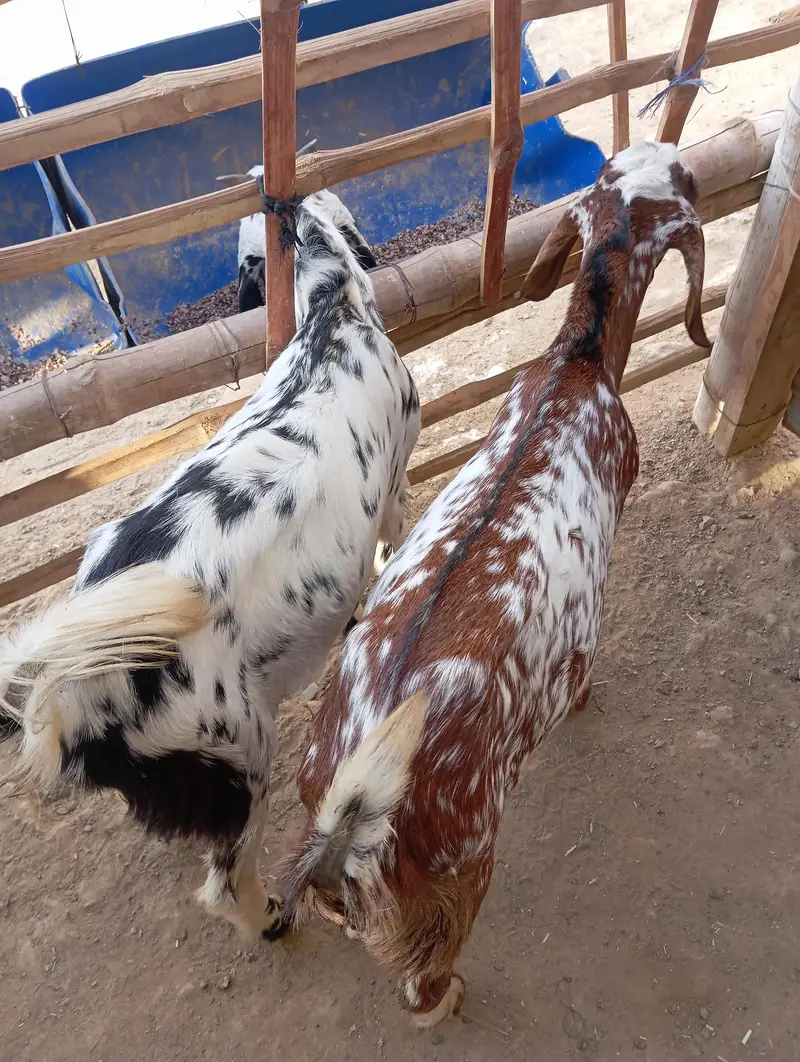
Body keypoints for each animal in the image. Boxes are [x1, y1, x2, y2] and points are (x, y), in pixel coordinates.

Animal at [0, 189, 420, 942]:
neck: (329, 323)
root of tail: (76, 696)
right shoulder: (397, 485)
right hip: (241, 752)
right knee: (226, 881)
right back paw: (275, 920)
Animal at [281, 141, 711, 1025]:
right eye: (682, 183)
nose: (684, 157)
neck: (577, 365)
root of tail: (349, 820)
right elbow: (584, 672)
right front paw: (584, 703)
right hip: (468, 859)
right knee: (423, 975)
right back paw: (450, 995)